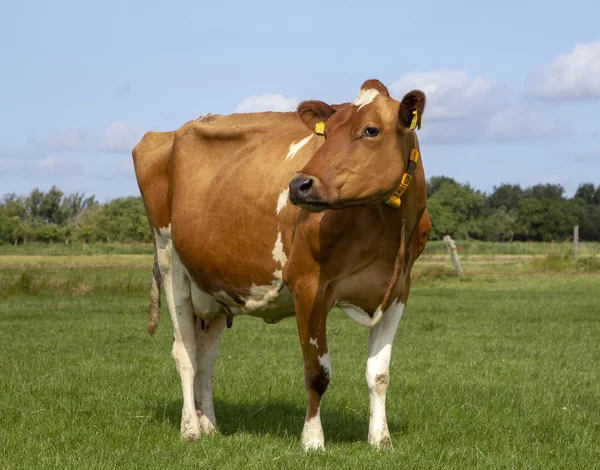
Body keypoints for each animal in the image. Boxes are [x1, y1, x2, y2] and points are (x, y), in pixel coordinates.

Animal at [133, 81, 428, 452]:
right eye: (326, 133)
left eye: (371, 130)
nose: (298, 185)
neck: (387, 232)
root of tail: (171, 131)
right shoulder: (309, 286)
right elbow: (317, 373)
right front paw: (313, 441)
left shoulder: (399, 289)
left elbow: (379, 374)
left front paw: (381, 440)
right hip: (170, 261)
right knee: (184, 353)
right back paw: (191, 429)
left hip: (212, 286)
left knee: (205, 358)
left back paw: (210, 425)